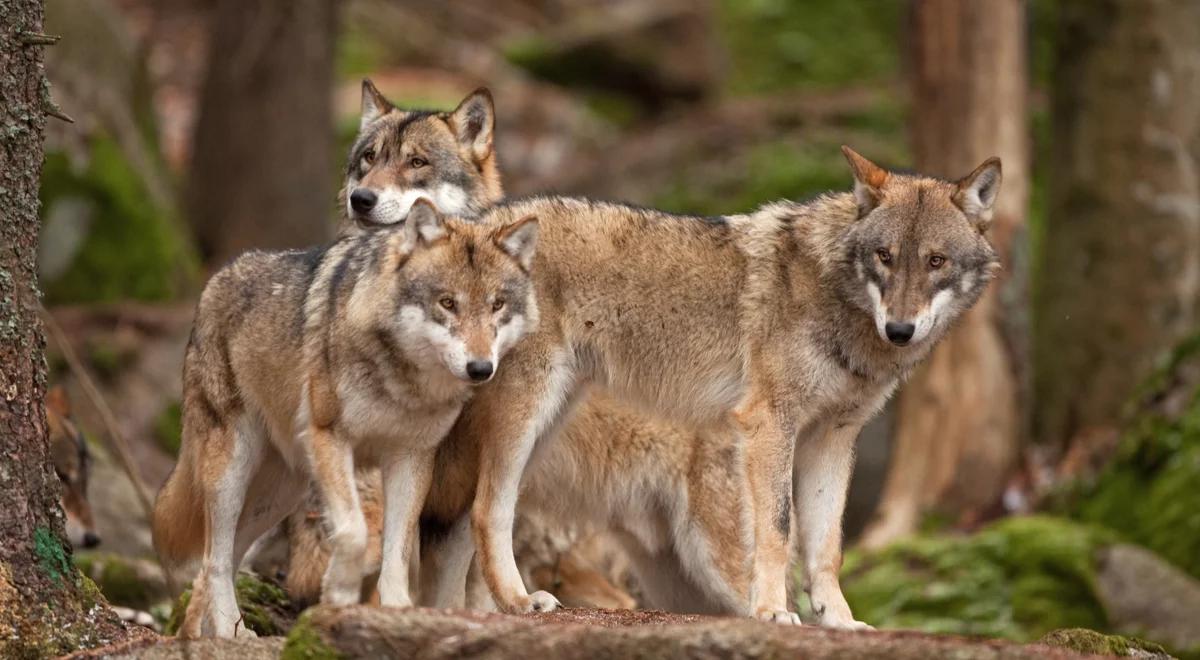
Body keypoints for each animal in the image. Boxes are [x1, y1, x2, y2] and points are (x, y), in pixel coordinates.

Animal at [151, 199, 540, 638]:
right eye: (447, 303)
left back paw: (210, 633)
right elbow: (353, 533)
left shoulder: (411, 458)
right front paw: (337, 593)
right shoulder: (331, 438)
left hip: (278, 495)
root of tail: (216, 278)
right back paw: (230, 633)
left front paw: (398, 610)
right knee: (214, 558)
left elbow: (397, 551)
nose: (480, 368)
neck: (403, 381)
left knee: (221, 558)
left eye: (497, 305)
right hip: (231, 475)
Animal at [427, 147, 998, 628]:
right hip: (528, 419)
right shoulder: (770, 424)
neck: (836, 297)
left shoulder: (833, 438)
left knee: (461, 522)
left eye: (936, 261)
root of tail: (470, 224)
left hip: (551, 433)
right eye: (884, 255)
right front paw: (772, 612)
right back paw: (517, 601)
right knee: (486, 511)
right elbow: (777, 530)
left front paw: (839, 622)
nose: (900, 330)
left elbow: (826, 547)